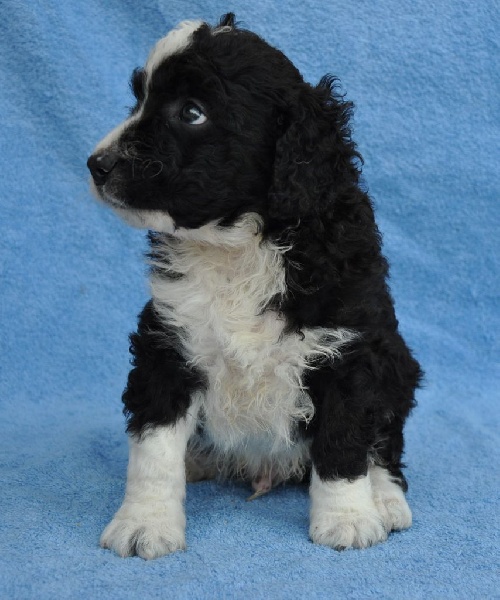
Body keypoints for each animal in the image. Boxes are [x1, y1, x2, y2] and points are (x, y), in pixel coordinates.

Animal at [87, 13, 422, 559]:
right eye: (138, 99)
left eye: (192, 112)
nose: (96, 164)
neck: (238, 245)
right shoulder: (168, 343)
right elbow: (154, 448)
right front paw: (144, 522)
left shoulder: (349, 347)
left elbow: (344, 442)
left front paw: (347, 519)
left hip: (397, 363)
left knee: (384, 446)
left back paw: (386, 500)